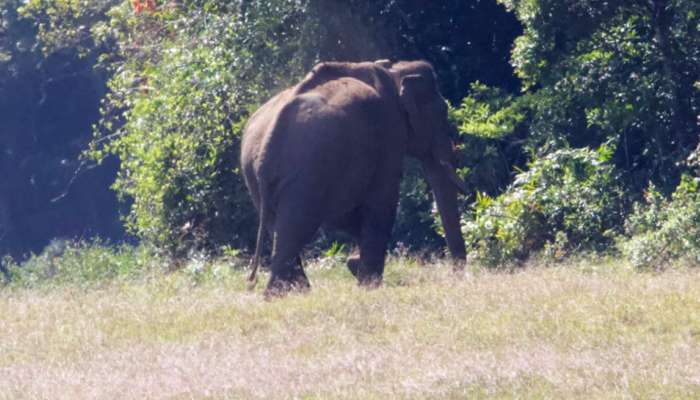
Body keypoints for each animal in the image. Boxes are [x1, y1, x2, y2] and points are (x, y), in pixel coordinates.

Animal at [243, 60, 468, 296]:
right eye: (442, 113)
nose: (456, 276)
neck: (394, 70)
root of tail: (268, 141)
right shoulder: (389, 132)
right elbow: (382, 201)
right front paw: (368, 285)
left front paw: (354, 264)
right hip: (307, 168)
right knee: (297, 225)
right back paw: (282, 294)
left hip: (260, 175)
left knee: (279, 225)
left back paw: (293, 292)